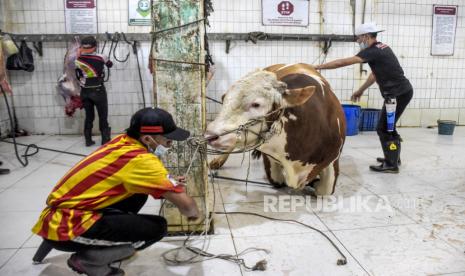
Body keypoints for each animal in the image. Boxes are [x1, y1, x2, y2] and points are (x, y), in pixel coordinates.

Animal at [206, 63, 344, 195]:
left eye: (256, 104)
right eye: (223, 98)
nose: (209, 135)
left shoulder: (333, 161)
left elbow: (324, 191)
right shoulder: (270, 161)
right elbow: (277, 180)